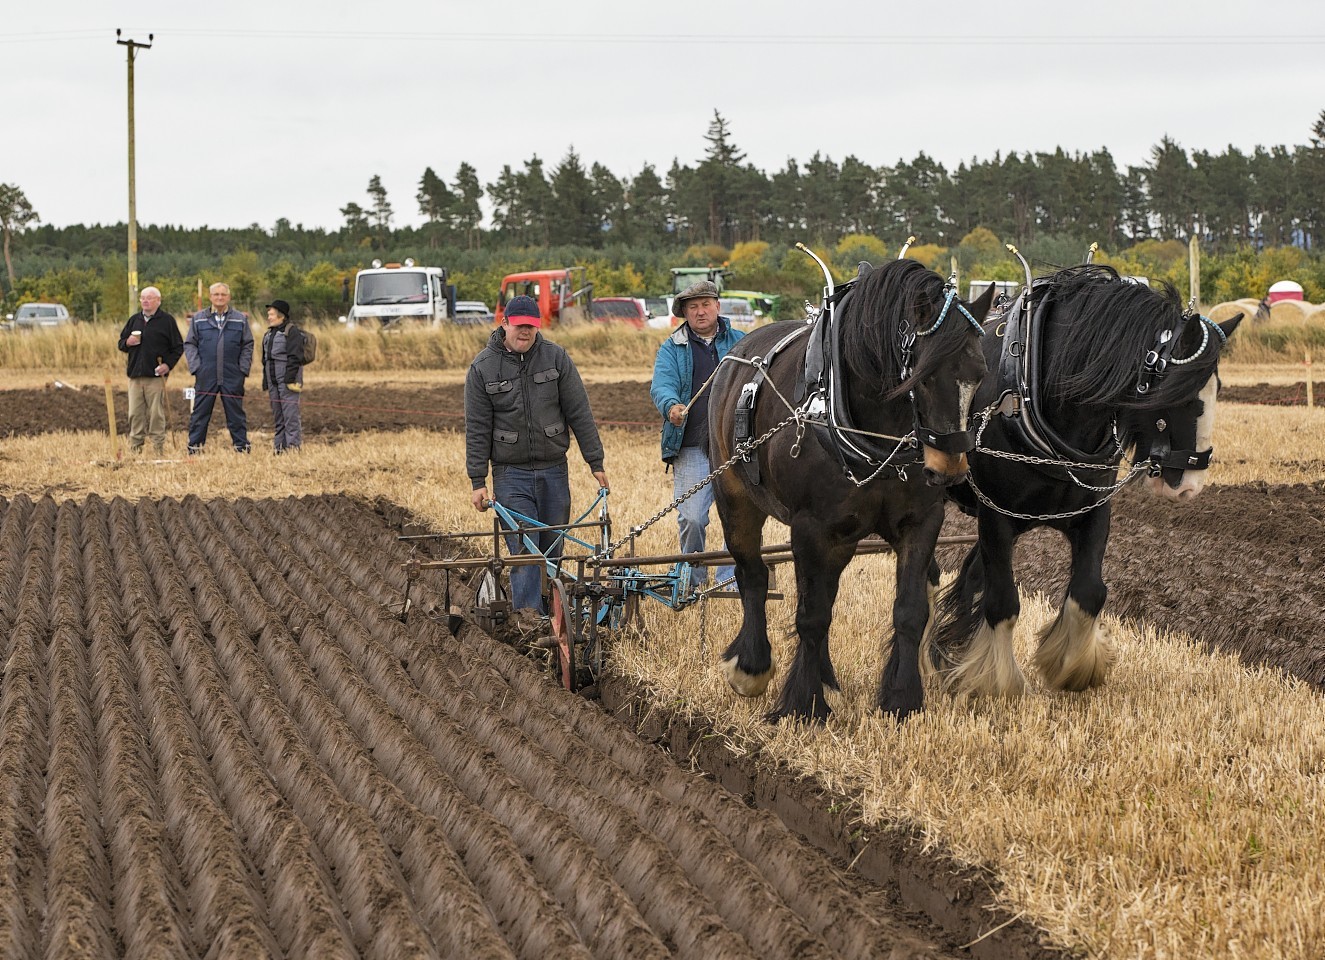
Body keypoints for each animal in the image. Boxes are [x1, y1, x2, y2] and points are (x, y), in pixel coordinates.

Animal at [710, 254, 991, 720]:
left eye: (981, 374)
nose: (949, 468)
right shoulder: (809, 527)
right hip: (734, 497)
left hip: (843, 536)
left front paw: (901, 698)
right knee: (752, 573)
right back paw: (752, 667)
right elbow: (811, 616)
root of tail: (735, 353)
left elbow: (909, 610)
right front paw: (803, 705)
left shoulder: (921, 521)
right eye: (922, 377)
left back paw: (826, 678)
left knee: (825, 589)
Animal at [932, 266, 1240, 699]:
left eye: (1219, 390)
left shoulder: (1093, 512)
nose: (1189, 485)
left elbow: (1090, 591)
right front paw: (998, 682)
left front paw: (1073, 667)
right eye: (1179, 394)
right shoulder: (995, 517)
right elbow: (1003, 600)